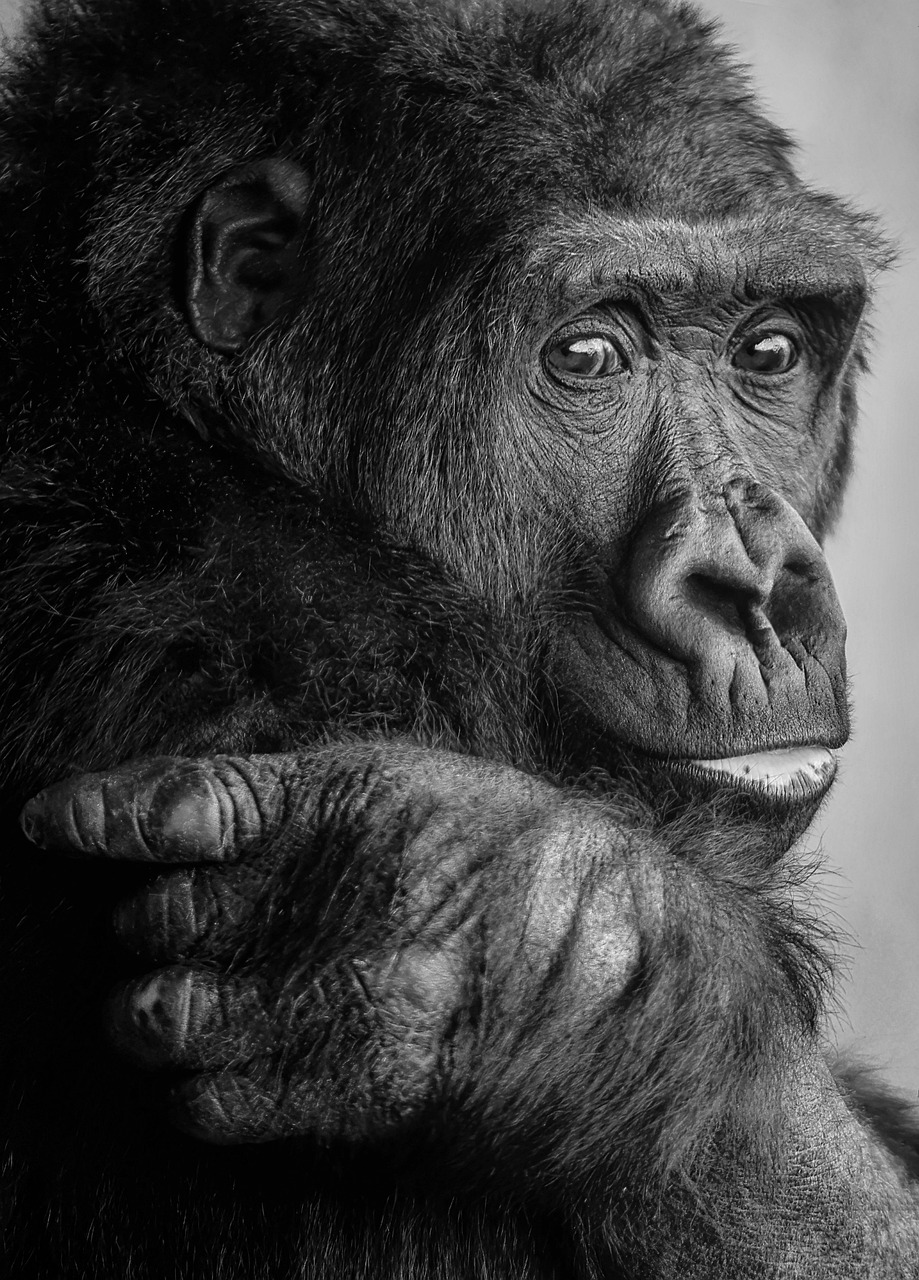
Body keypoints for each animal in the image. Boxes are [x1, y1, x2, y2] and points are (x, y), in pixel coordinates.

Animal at [2, 1, 918, 1276]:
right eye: (585, 357)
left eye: (769, 352)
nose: (751, 583)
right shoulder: (267, 654)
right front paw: (565, 944)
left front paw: (527, 933)